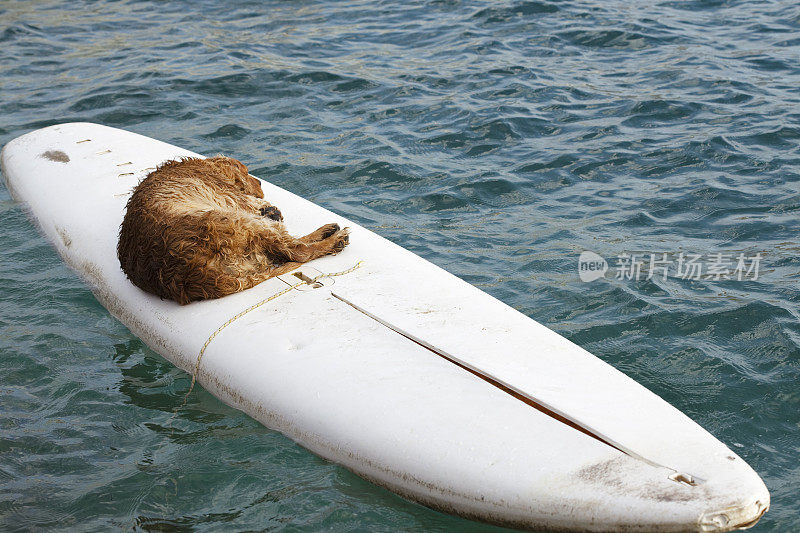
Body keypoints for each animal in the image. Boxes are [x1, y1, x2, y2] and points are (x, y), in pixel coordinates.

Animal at [117, 155, 348, 304]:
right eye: (246, 171)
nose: (260, 182)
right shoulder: (234, 198)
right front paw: (270, 209)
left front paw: (271, 210)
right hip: (236, 220)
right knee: (298, 251)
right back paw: (334, 239)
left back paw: (326, 230)